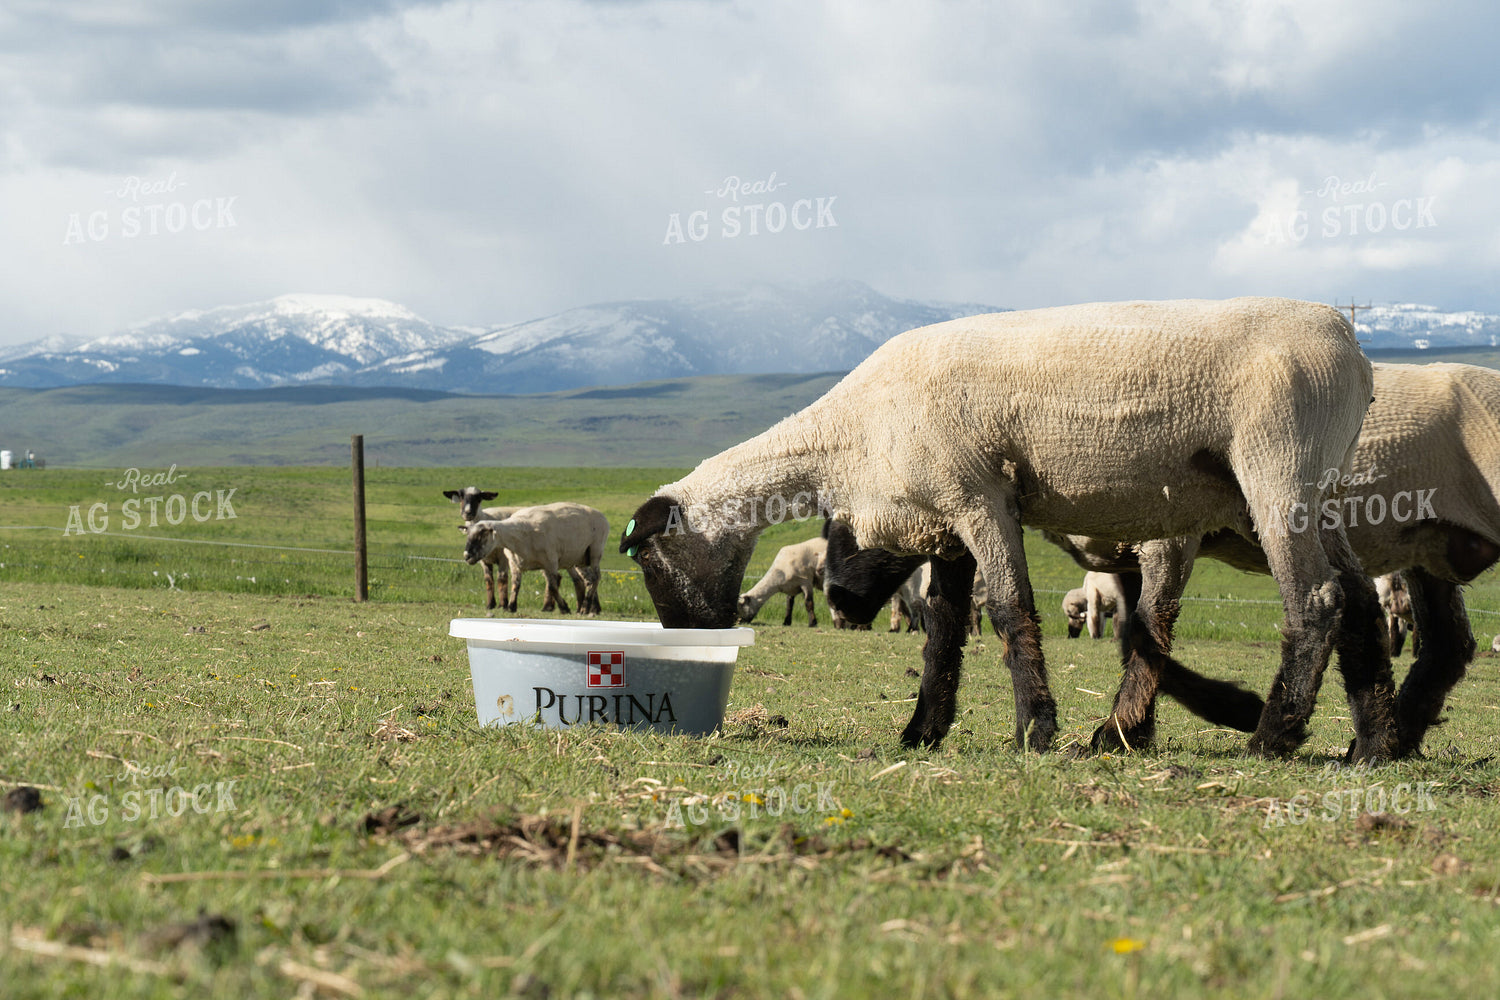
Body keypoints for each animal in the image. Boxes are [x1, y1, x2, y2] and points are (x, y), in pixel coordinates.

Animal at [464, 502, 609, 616]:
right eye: (468, 536)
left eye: (481, 536)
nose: (466, 556)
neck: (518, 535)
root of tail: (602, 516)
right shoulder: (514, 563)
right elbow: (515, 585)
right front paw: (511, 606)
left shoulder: (550, 562)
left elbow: (552, 587)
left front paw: (564, 608)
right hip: (579, 558)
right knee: (587, 580)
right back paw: (587, 608)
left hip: (595, 550)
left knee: (596, 577)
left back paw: (585, 608)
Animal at [620, 297, 1395, 759]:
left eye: (648, 557)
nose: (685, 640)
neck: (845, 433)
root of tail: (1351, 345)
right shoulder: (946, 520)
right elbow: (941, 631)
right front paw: (922, 732)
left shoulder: (979, 495)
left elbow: (1009, 610)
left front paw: (1035, 729)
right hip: (1319, 490)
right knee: (1359, 599)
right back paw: (1374, 742)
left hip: (1277, 470)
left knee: (1316, 601)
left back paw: (1272, 735)